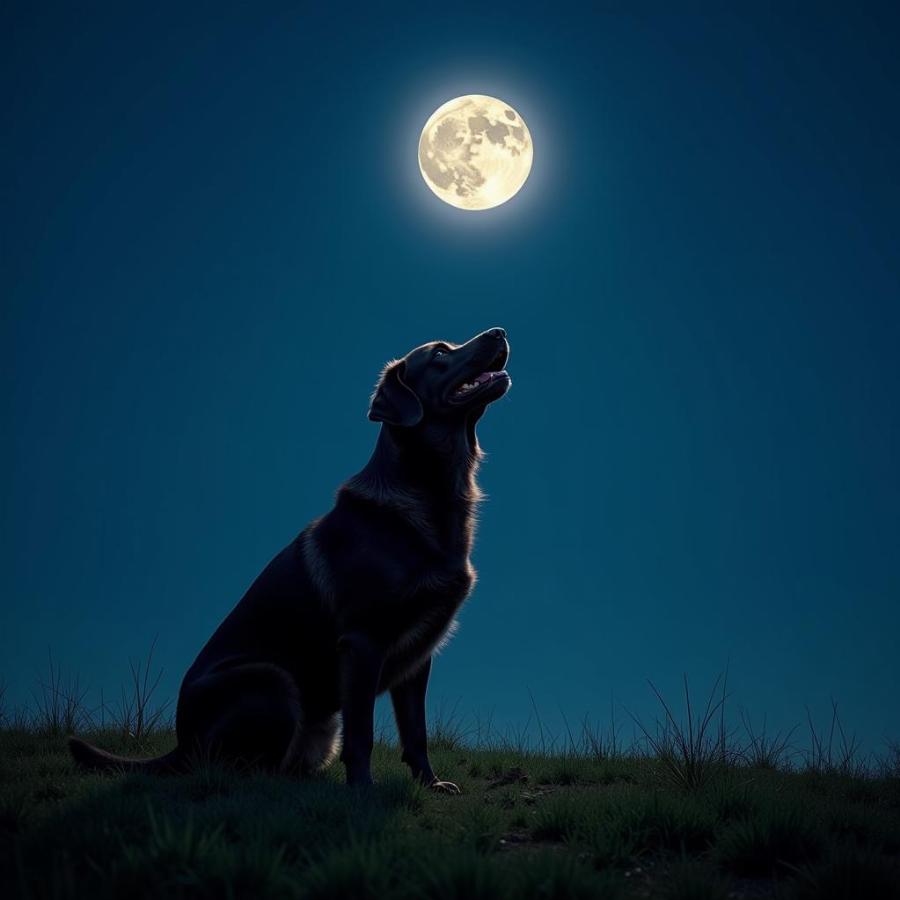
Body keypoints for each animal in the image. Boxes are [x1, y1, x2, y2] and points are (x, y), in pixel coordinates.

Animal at [70, 326, 510, 792]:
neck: (429, 489)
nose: (500, 331)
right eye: (441, 353)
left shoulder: (419, 653)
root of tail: (180, 744)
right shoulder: (362, 642)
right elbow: (363, 732)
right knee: (235, 769)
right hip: (272, 681)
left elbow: (416, 730)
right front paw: (362, 790)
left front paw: (429, 783)